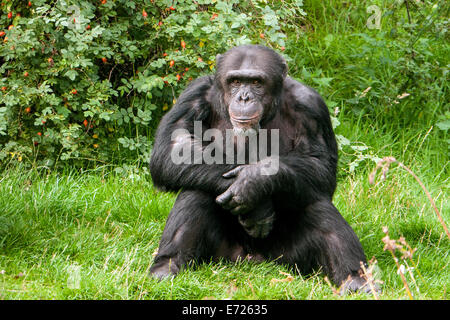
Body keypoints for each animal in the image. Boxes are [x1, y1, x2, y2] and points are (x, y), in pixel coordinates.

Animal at [149, 44, 370, 292]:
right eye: (235, 81)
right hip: (221, 256)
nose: (244, 97)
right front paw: (258, 207)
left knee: (318, 207)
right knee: (195, 192)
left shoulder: (311, 106)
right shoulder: (193, 95)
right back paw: (166, 267)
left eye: (256, 82)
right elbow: (173, 148)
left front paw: (253, 181)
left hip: (289, 261)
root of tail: (254, 262)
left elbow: (320, 165)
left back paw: (356, 279)